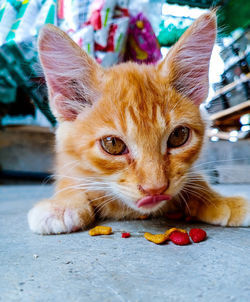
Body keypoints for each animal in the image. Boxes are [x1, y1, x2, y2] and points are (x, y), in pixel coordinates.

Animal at [27, 11, 250, 234]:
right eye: (112, 144)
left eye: (178, 136)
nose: (155, 188)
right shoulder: (67, 163)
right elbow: (70, 180)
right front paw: (62, 205)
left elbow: (196, 180)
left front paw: (221, 201)